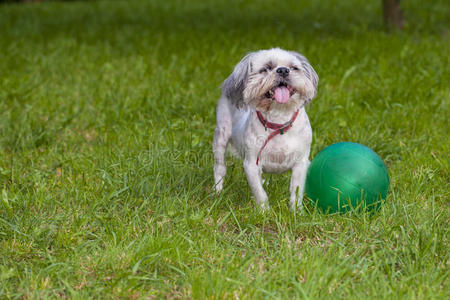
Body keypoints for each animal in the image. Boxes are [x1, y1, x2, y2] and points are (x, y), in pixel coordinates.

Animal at [213, 48, 318, 211]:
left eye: (294, 67)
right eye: (265, 69)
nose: (283, 70)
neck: (279, 120)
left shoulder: (301, 162)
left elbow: (296, 190)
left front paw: (296, 212)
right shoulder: (251, 164)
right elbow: (259, 192)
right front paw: (264, 212)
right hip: (220, 137)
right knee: (219, 169)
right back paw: (217, 192)